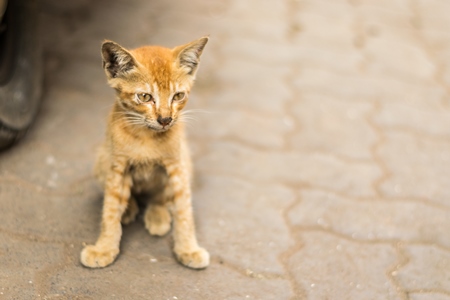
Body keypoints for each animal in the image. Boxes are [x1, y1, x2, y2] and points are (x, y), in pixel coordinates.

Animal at [80, 36, 210, 268]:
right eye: (145, 97)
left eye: (178, 96)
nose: (165, 119)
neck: (146, 138)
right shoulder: (118, 167)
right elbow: (110, 210)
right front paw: (104, 248)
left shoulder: (177, 167)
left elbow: (184, 212)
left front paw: (188, 249)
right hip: (102, 161)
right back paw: (129, 209)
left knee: (159, 197)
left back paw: (158, 216)